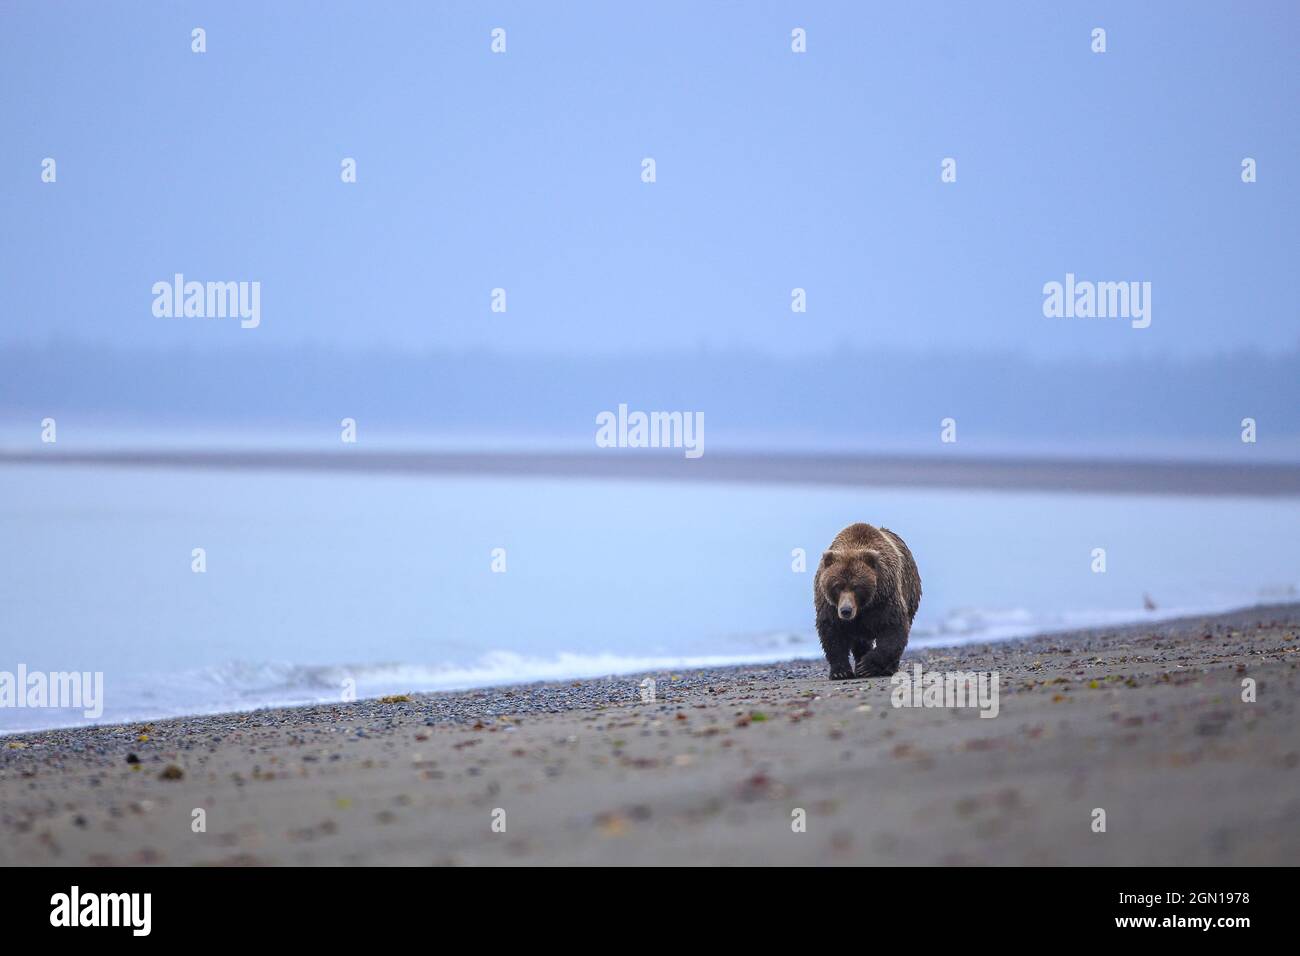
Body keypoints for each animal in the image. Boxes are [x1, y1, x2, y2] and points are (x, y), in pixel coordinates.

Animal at [813, 522, 922, 680]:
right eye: (837, 586)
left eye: (856, 586)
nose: (846, 610)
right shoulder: (829, 605)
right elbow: (832, 632)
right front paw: (841, 672)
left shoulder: (885, 597)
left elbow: (893, 628)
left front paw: (867, 666)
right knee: (860, 641)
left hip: (910, 591)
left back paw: (888, 668)